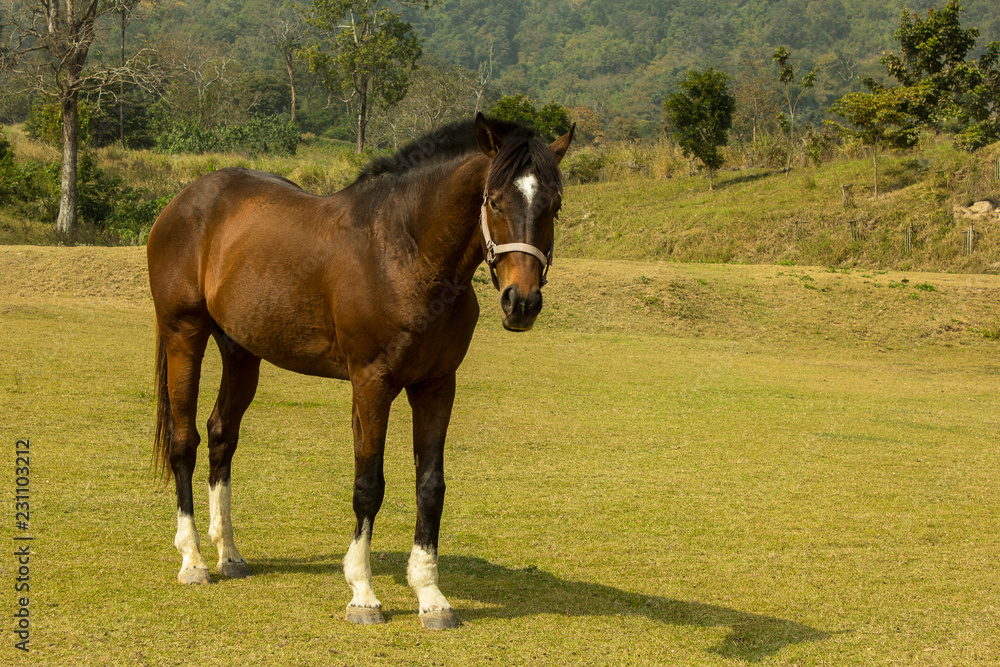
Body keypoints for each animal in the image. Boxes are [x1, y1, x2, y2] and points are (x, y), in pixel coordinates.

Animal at [146, 113, 574, 630]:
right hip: (183, 335)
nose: (521, 302)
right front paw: (364, 594)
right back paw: (193, 560)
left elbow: (430, 486)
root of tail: (184, 201)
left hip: (242, 352)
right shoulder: (372, 385)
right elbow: (369, 485)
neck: (405, 254)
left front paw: (431, 596)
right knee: (184, 440)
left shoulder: (436, 386)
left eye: (554, 205)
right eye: (493, 200)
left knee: (221, 435)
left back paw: (228, 554)